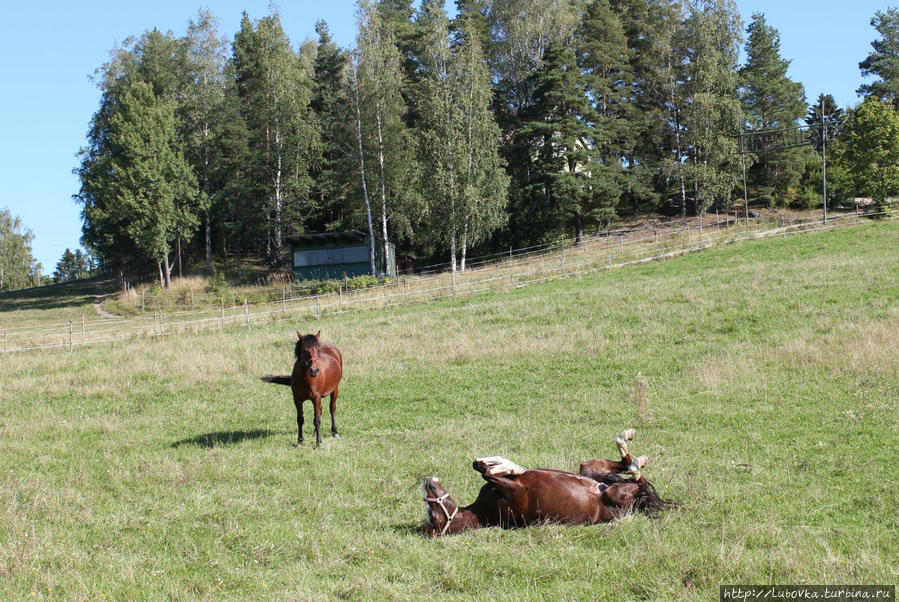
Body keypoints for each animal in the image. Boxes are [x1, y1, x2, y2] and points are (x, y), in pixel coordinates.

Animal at [424, 426, 676, 536]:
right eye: (434, 516)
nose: (427, 481)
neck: (482, 512)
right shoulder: (514, 494)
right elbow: (487, 472)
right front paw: (510, 466)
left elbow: (480, 467)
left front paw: (499, 462)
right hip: (616, 493)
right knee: (638, 480)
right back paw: (634, 460)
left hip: (587, 468)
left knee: (624, 465)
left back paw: (628, 442)